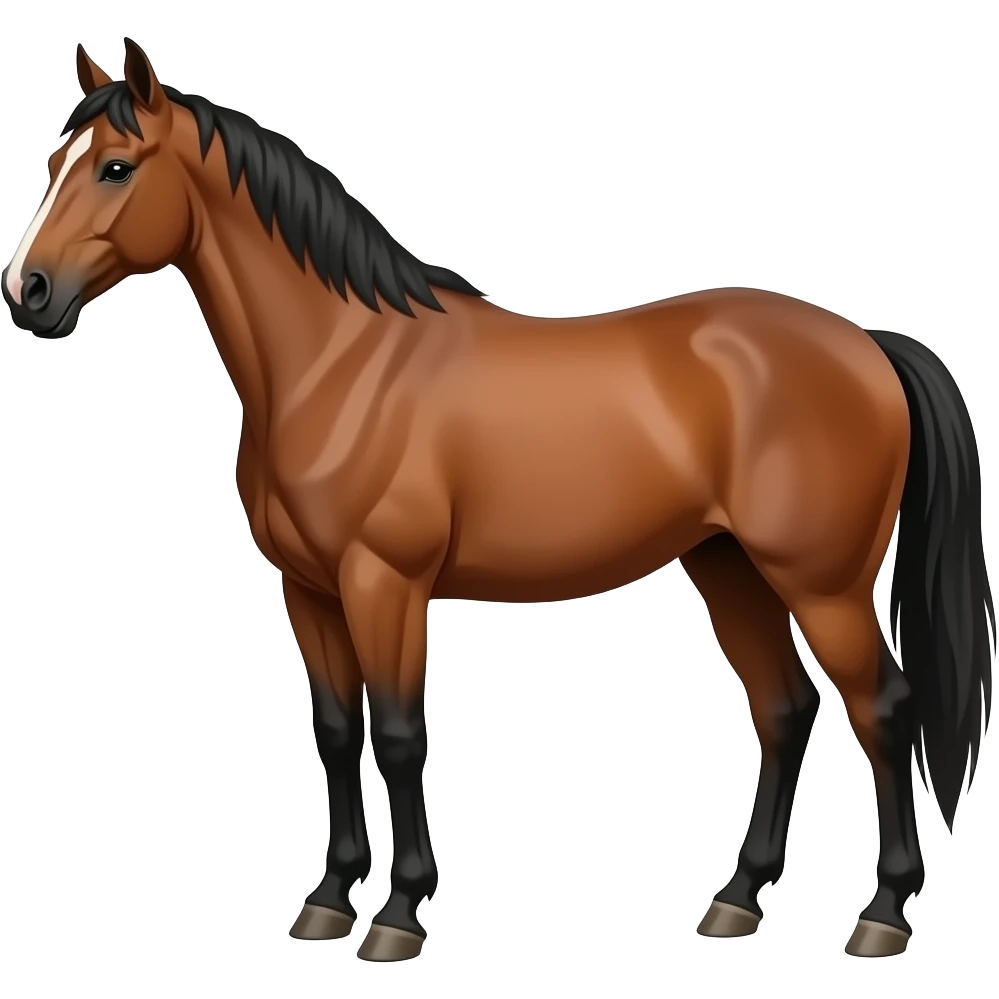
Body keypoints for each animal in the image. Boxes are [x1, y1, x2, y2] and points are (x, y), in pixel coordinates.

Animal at [3, 39, 994, 962]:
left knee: (882, 708)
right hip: (728, 566)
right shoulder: (309, 589)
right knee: (783, 709)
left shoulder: (384, 583)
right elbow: (336, 730)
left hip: (820, 583)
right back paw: (734, 900)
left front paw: (397, 917)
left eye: (116, 166)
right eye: (54, 163)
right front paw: (326, 900)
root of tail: (866, 343)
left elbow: (399, 734)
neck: (339, 361)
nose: (28, 292)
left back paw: (880, 914)